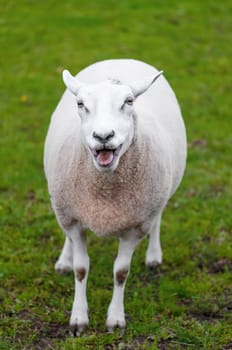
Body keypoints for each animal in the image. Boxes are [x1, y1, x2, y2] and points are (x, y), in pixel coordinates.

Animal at [44, 58, 188, 334]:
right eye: (81, 104)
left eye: (129, 101)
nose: (103, 136)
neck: (106, 194)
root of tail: (121, 60)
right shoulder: (73, 217)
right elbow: (80, 269)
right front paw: (78, 318)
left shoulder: (135, 226)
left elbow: (121, 272)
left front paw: (115, 319)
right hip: (62, 202)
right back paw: (64, 261)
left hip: (159, 193)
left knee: (158, 218)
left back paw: (153, 257)